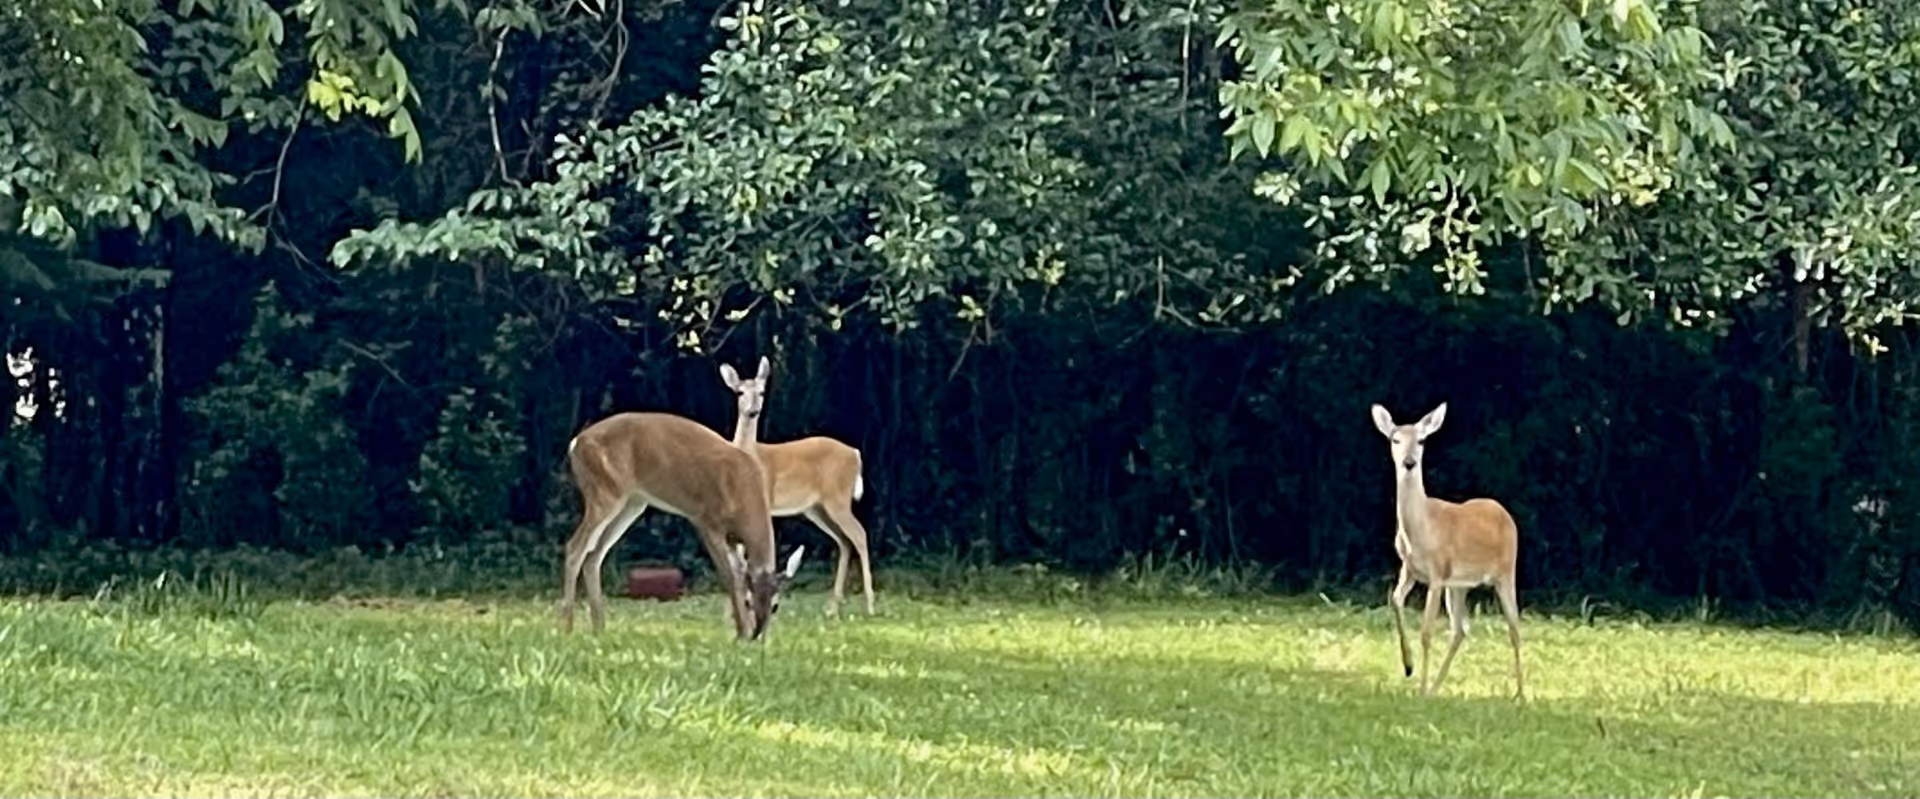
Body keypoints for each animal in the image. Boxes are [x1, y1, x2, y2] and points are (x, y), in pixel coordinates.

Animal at [560, 409, 805, 640]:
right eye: (748, 602)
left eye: (775, 606)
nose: (757, 633)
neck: (743, 495)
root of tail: (576, 443)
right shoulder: (706, 520)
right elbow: (730, 576)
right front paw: (741, 633)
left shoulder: (733, 538)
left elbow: (737, 573)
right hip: (605, 491)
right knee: (575, 546)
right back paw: (567, 626)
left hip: (633, 502)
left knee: (594, 555)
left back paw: (599, 628)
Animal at [718, 356, 876, 617]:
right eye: (740, 392)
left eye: (762, 392)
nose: (753, 411)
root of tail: (856, 453)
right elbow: (737, 557)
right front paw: (731, 612)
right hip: (816, 508)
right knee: (844, 541)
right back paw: (832, 607)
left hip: (838, 497)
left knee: (859, 534)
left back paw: (870, 605)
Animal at [1370, 402, 1525, 699]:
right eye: (1395, 439)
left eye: (1421, 440)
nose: (1409, 463)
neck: (1422, 528)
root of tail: (1504, 513)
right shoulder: (1409, 568)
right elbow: (1394, 601)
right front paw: (1409, 667)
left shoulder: (1437, 574)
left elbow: (1426, 632)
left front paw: (1419, 688)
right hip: (1459, 585)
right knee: (1461, 629)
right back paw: (1435, 689)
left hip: (1506, 571)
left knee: (1514, 627)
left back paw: (1521, 696)